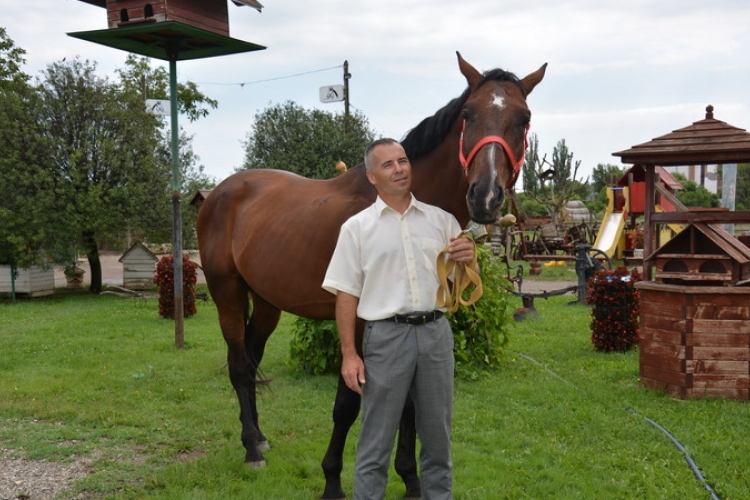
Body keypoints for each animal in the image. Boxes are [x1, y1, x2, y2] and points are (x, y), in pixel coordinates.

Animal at [195, 52, 548, 498]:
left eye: (524, 118)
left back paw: (258, 436)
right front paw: (332, 479)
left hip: (267, 302)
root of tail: (220, 192)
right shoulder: (360, 324)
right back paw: (251, 452)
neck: (400, 205)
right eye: (468, 113)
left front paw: (410, 479)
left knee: (250, 358)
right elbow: (348, 404)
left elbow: (409, 405)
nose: (484, 196)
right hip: (227, 293)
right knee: (240, 366)